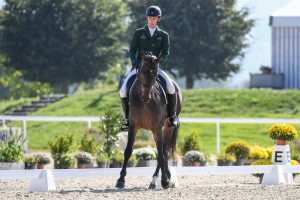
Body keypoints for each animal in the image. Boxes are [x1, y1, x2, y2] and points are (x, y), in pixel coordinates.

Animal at [116, 53, 182, 189]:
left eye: (156, 73)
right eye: (141, 71)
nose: (146, 96)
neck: (144, 103)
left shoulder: (157, 128)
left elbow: (160, 154)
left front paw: (164, 181)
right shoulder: (133, 126)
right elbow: (128, 151)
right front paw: (120, 180)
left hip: (168, 127)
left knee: (164, 151)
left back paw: (157, 180)